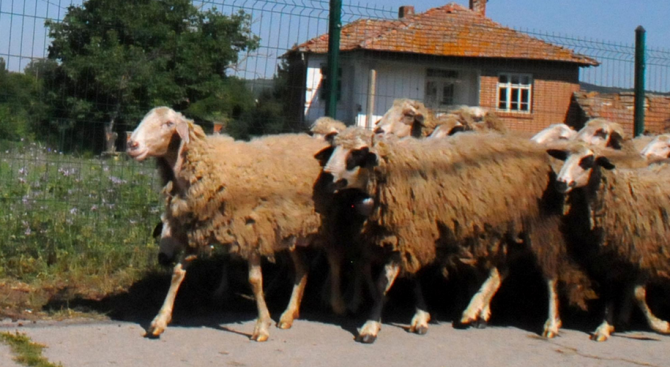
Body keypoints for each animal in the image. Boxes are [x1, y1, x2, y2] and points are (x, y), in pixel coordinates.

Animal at [324, 128, 592, 344]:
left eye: (357, 153)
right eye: (334, 147)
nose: (327, 176)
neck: (393, 171)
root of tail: (538, 153)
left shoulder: (411, 235)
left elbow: (384, 284)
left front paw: (370, 327)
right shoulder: (416, 236)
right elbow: (415, 279)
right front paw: (421, 317)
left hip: (538, 225)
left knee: (549, 273)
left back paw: (550, 323)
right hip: (496, 233)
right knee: (500, 271)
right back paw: (475, 312)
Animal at [548, 144, 670, 342]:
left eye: (587, 161)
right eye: (565, 157)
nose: (560, 183)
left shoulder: (645, 252)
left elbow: (637, 294)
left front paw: (662, 325)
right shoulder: (612, 255)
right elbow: (611, 292)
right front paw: (604, 327)